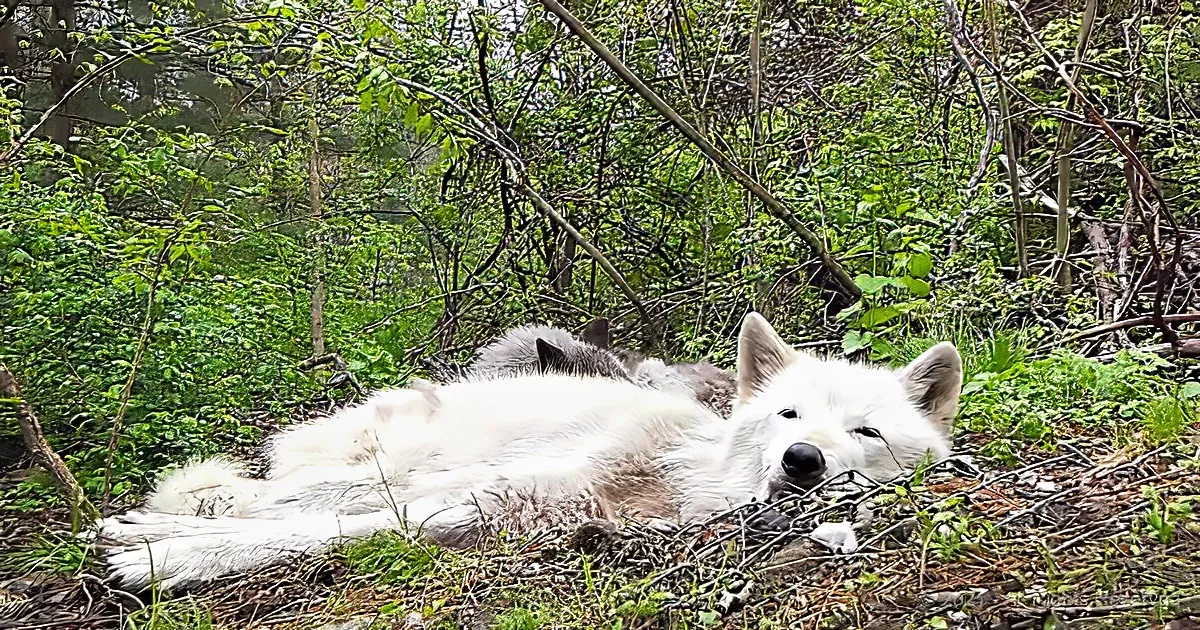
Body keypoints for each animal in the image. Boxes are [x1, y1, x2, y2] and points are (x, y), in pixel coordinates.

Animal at [99, 313, 961, 590]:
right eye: (789, 415)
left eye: (866, 432)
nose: (802, 461)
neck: (681, 478)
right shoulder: (507, 484)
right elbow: (313, 528)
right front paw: (160, 557)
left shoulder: (510, 509)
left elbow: (330, 532)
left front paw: (162, 557)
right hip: (399, 458)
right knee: (285, 496)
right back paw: (147, 524)